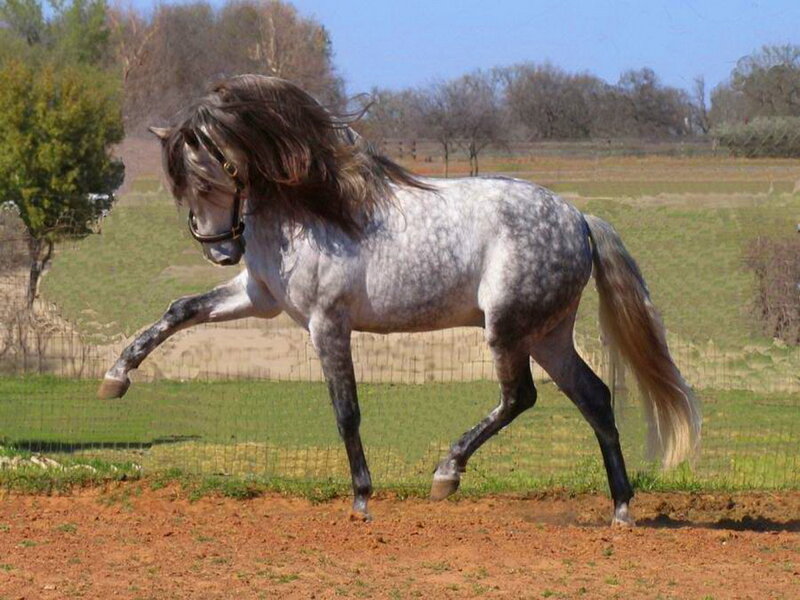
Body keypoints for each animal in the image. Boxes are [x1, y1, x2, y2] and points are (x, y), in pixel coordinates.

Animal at [98, 74, 700, 526]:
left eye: (208, 177)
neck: (311, 211)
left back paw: (447, 474)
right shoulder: (258, 296)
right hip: (546, 334)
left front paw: (362, 498)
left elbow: (346, 410)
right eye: (181, 186)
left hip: (507, 329)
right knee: (593, 396)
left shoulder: (326, 323)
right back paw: (621, 508)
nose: (221, 251)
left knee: (520, 396)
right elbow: (180, 310)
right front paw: (116, 378)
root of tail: (579, 218)